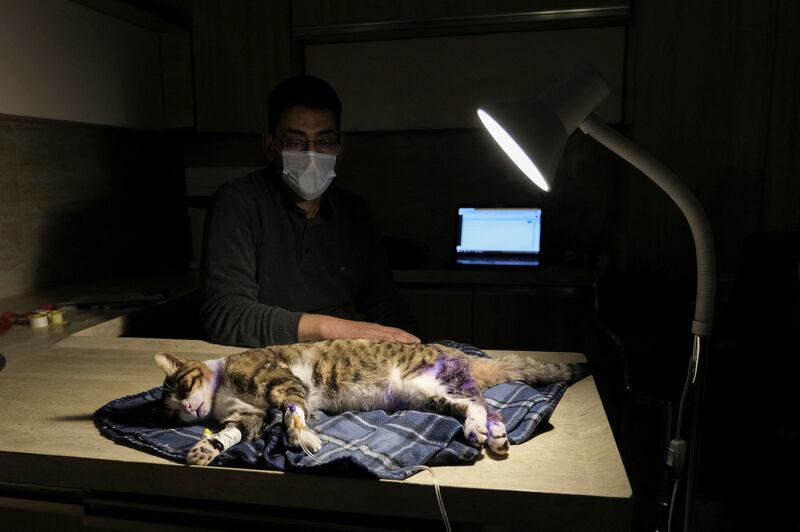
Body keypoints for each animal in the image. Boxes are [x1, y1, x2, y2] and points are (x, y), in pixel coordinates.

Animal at [155, 340, 588, 466]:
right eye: (172, 410)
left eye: (181, 387)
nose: (187, 410)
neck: (221, 393)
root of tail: (453, 350)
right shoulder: (250, 416)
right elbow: (232, 434)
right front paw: (204, 448)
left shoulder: (283, 382)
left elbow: (293, 414)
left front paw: (304, 439)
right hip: (430, 395)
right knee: (482, 406)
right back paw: (490, 434)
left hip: (427, 380)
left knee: (481, 403)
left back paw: (483, 431)